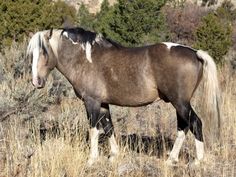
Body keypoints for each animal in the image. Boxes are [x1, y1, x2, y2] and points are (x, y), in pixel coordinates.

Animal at [26, 27, 220, 166]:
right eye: (31, 54)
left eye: (43, 52)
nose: (36, 81)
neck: (86, 60)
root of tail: (195, 53)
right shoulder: (103, 104)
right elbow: (109, 127)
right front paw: (113, 155)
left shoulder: (91, 102)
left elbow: (93, 130)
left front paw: (92, 159)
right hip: (179, 104)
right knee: (183, 127)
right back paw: (171, 159)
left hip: (180, 103)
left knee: (195, 124)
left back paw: (197, 161)